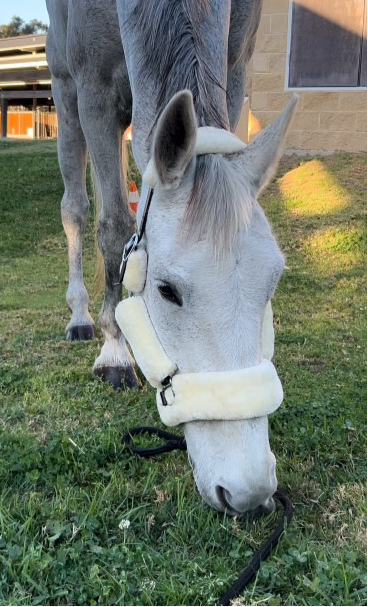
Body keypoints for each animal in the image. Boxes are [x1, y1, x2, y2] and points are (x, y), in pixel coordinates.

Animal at [47, 0, 298, 516]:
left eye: (273, 282)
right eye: (166, 291)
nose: (249, 491)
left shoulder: (236, 71)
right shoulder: (94, 90)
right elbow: (113, 227)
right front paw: (115, 348)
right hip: (65, 93)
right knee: (76, 209)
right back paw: (81, 316)